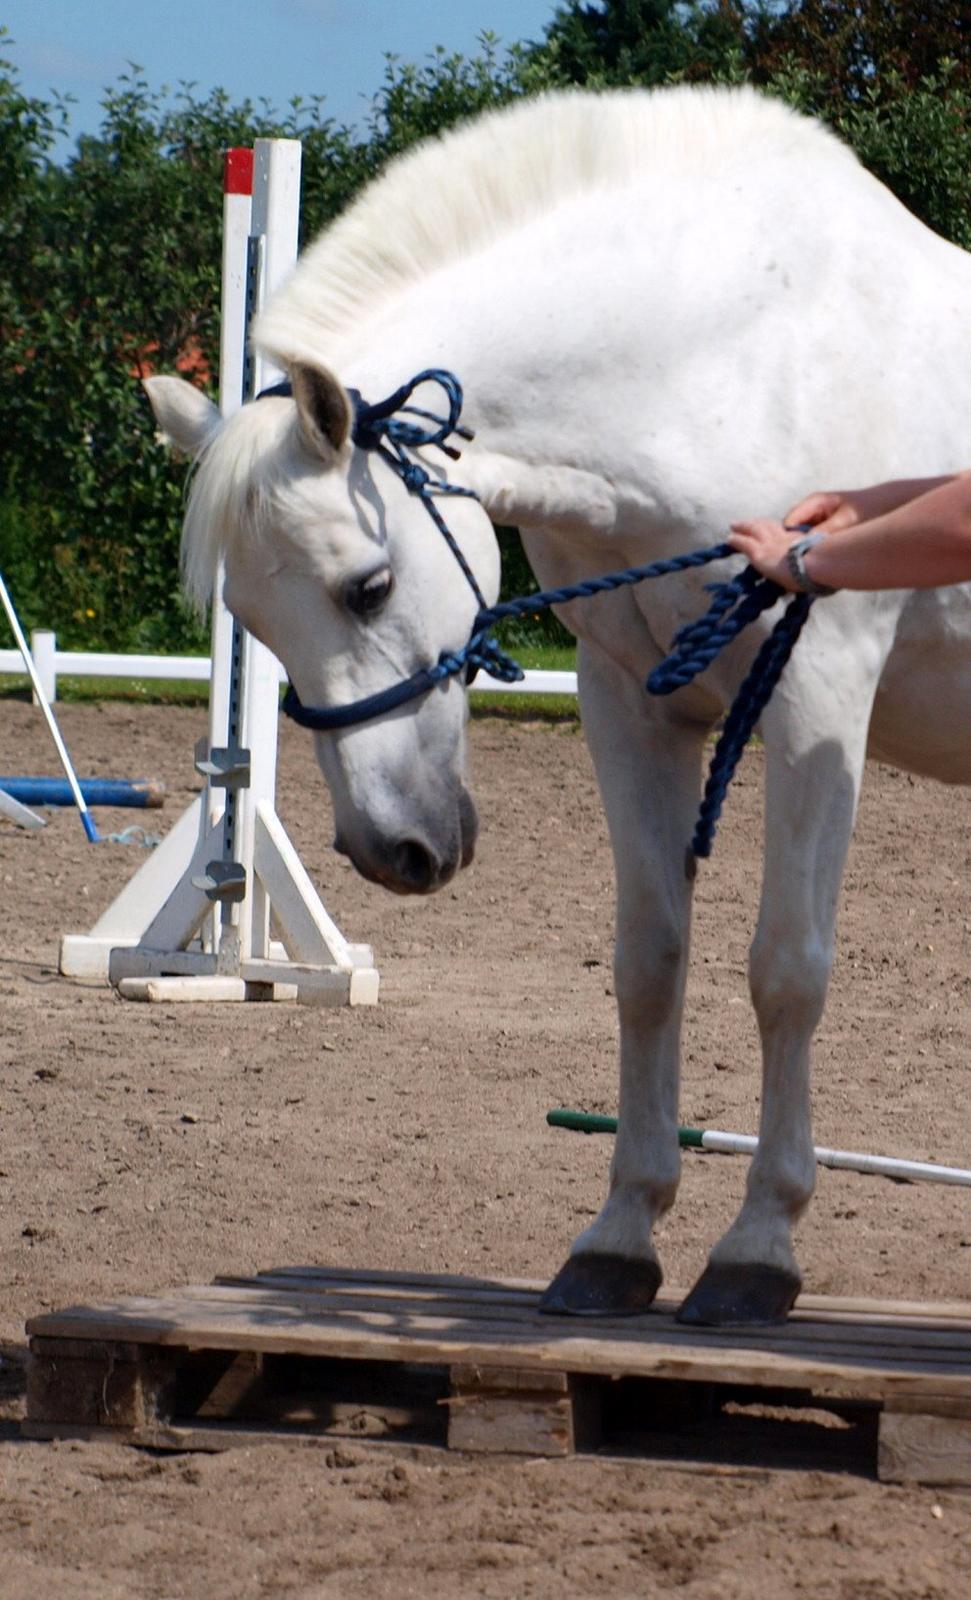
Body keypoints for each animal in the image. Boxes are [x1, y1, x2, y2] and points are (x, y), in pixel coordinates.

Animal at [147, 90, 971, 1324]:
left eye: (368, 586)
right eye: (250, 616)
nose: (389, 850)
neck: (728, 354)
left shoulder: (816, 697)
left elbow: (785, 968)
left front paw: (756, 1250)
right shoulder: (628, 701)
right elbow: (649, 963)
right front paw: (619, 1238)